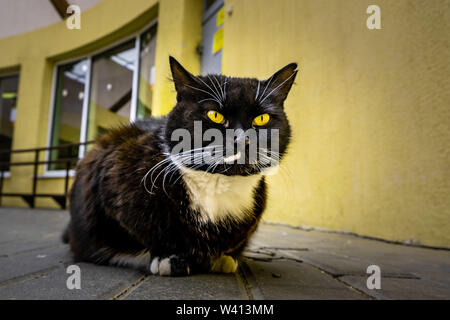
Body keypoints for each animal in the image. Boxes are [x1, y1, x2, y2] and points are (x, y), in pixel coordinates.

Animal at [62, 57, 296, 276]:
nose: (242, 140)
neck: (217, 186)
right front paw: (169, 257)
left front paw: (223, 257)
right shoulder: (108, 177)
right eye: (215, 115)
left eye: (262, 118)